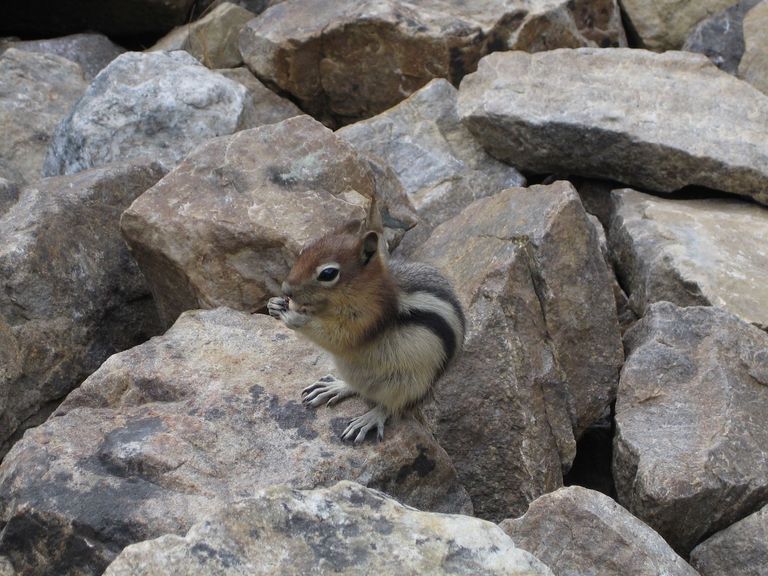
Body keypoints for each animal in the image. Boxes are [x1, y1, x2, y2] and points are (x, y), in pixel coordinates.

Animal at [268, 200, 464, 444]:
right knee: (359, 388)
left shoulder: (368, 318)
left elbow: (339, 338)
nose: (286, 289)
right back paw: (336, 387)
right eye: (305, 250)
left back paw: (370, 418)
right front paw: (275, 304)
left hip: (408, 384)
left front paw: (295, 317)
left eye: (328, 274)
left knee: (393, 406)